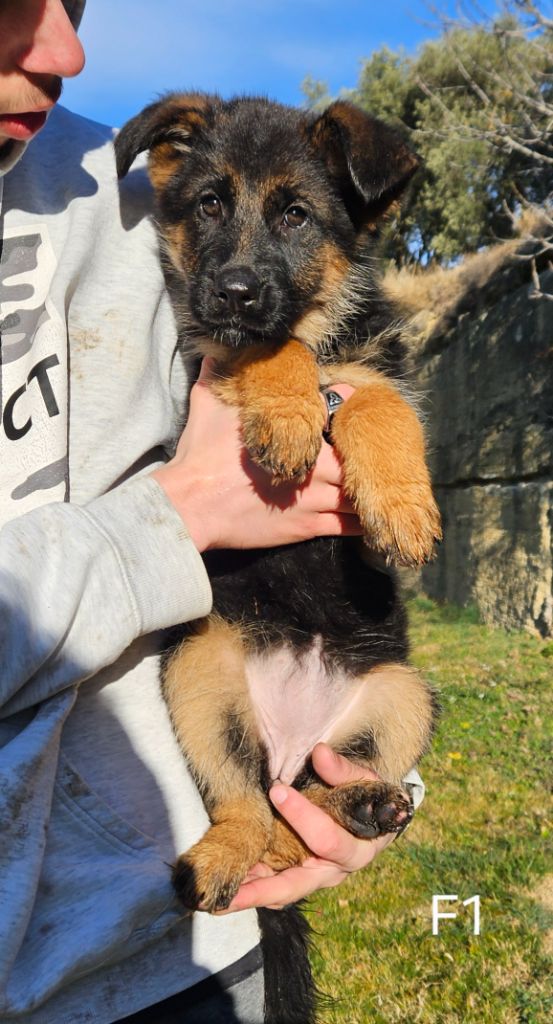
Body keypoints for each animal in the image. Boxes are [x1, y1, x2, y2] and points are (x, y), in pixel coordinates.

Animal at [115, 94, 440, 1015]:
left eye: (296, 215)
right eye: (209, 205)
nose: (233, 289)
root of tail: (291, 741)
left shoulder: (380, 372)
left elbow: (374, 402)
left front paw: (401, 505)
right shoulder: (211, 348)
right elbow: (270, 347)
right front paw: (291, 412)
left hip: (402, 693)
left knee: (302, 814)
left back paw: (360, 805)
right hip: (199, 669)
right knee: (250, 811)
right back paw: (220, 857)